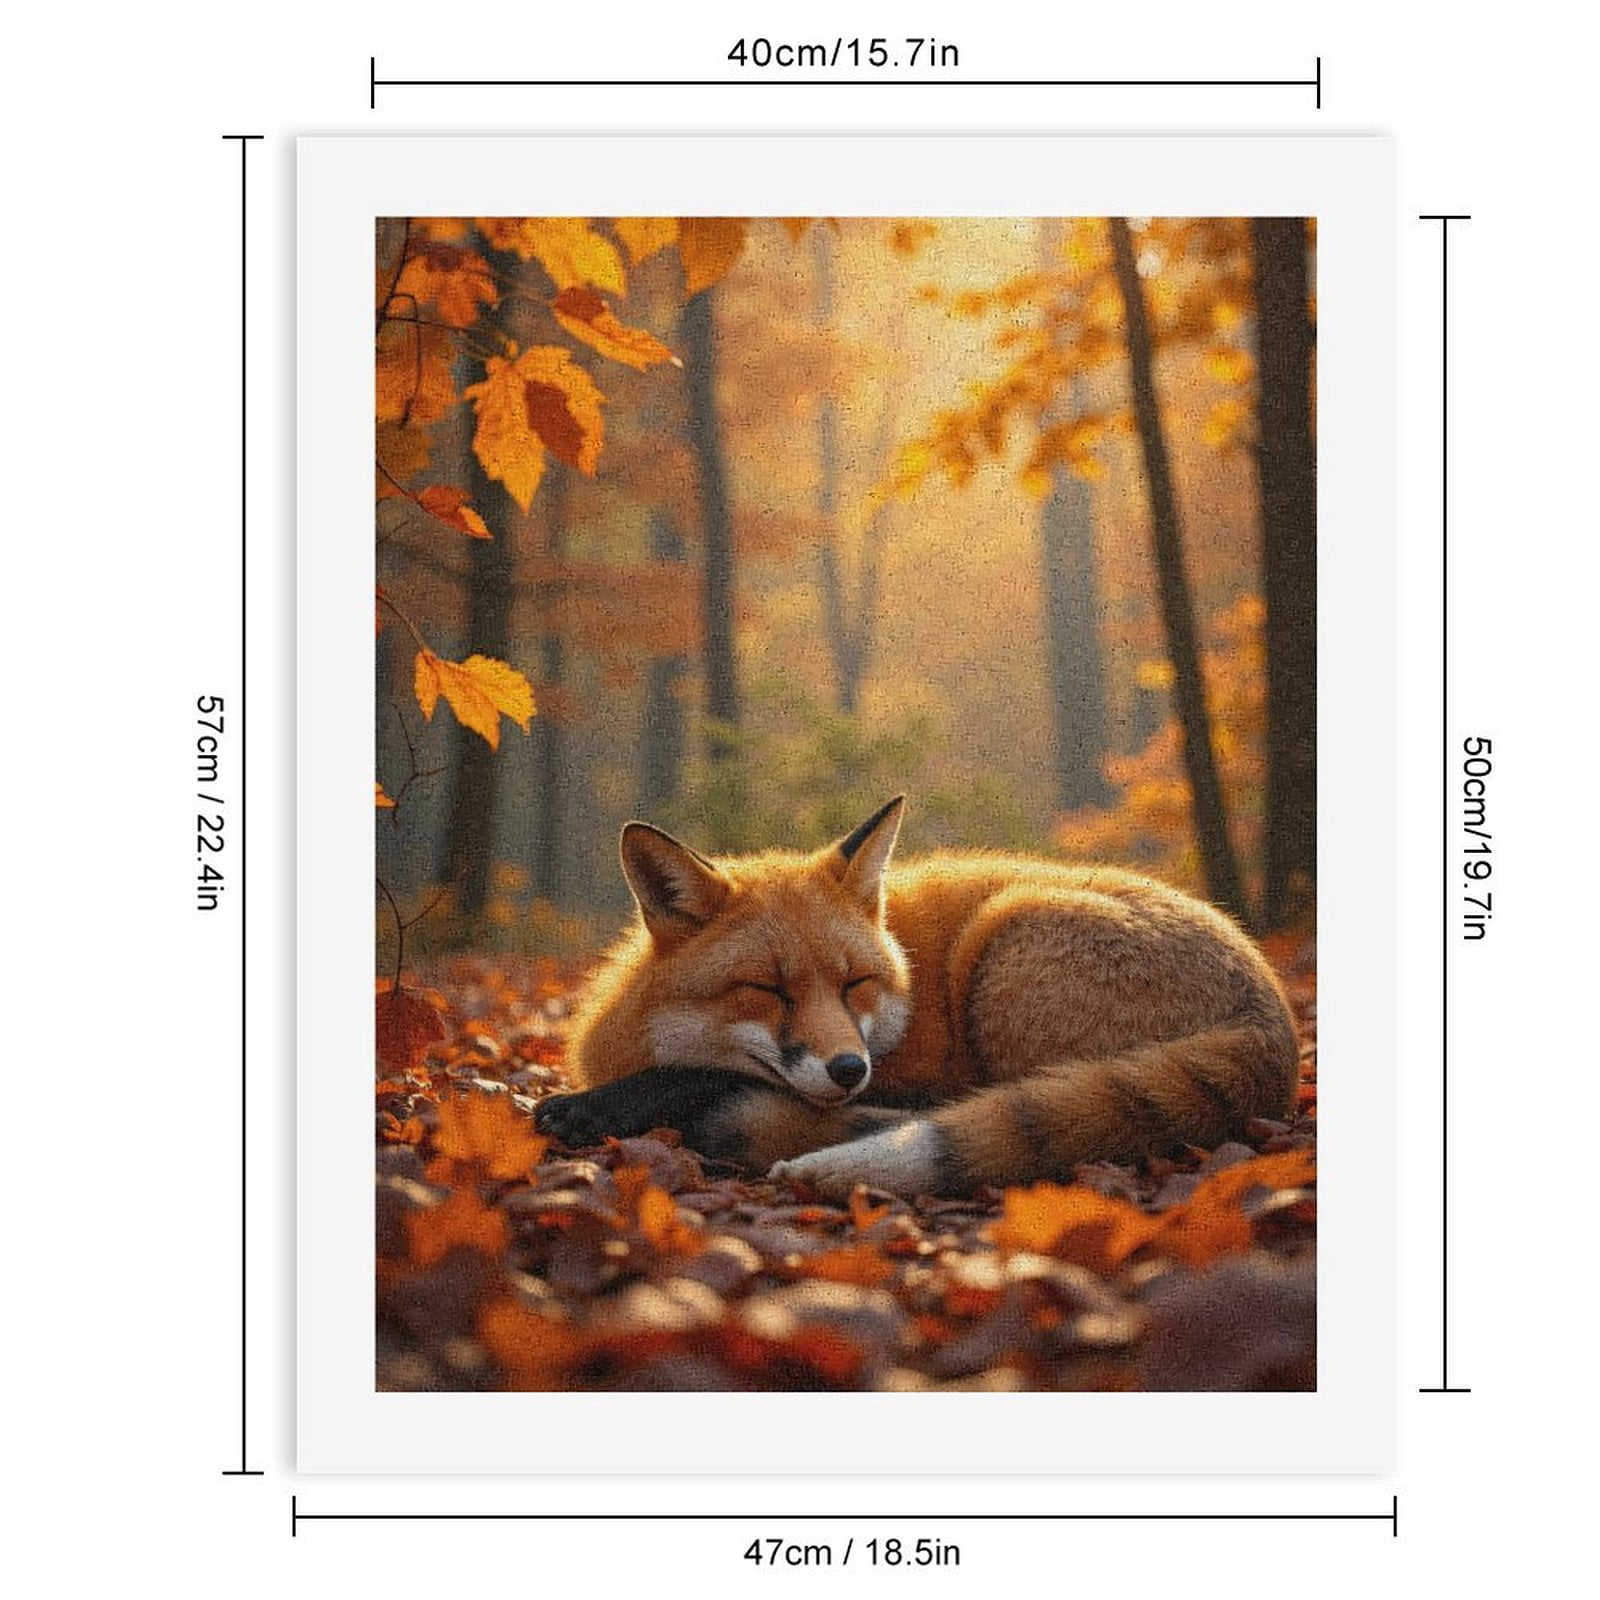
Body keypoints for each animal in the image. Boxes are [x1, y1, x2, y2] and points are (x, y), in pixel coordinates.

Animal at [535, 796, 1300, 1199]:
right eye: (767, 989)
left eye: (855, 983)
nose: (850, 1069)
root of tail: (1273, 1017)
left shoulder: (912, 1069)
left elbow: (698, 1072)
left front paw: (593, 1108)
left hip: (1004, 947)